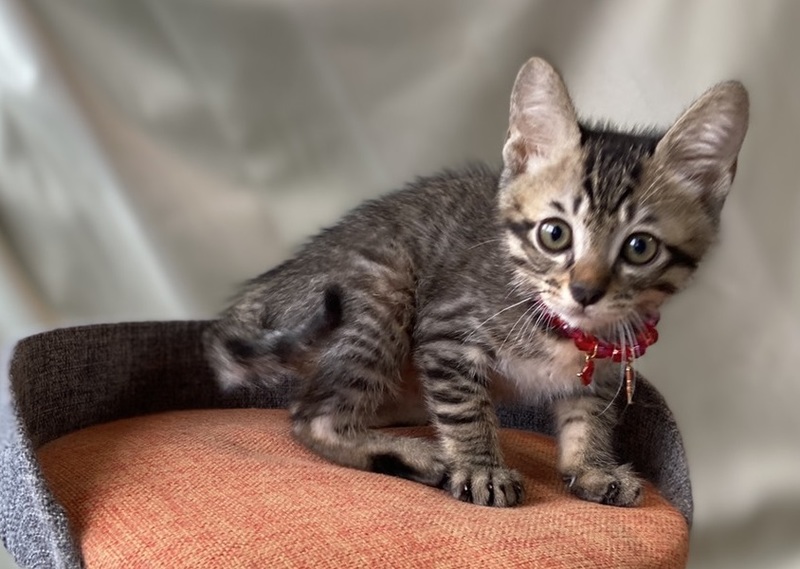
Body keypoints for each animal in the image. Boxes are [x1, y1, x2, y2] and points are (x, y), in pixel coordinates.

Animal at [204, 57, 748, 508]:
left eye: (639, 248)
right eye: (554, 234)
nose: (585, 292)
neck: (562, 328)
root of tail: (267, 287)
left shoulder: (609, 365)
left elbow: (589, 414)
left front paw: (592, 467)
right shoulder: (446, 330)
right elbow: (466, 407)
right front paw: (481, 467)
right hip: (382, 284)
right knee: (308, 416)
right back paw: (415, 454)